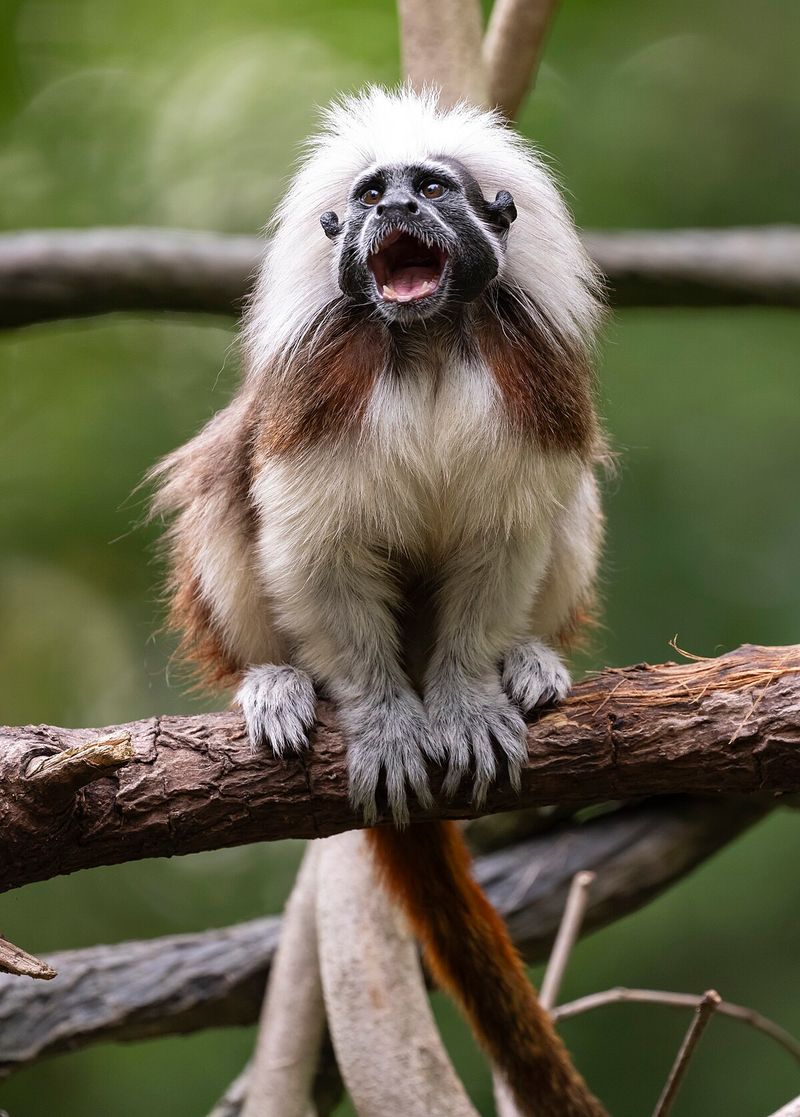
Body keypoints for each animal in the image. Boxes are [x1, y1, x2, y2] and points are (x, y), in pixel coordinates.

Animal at [151, 87, 607, 1117]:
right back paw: (274, 681)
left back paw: (531, 659)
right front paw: (388, 717)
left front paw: (469, 697)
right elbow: (313, 545)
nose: (394, 209)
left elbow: (505, 537)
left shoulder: (530, 382)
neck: (430, 339)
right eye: (369, 197)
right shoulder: (321, 391)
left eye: (431, 189)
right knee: (225, 476)